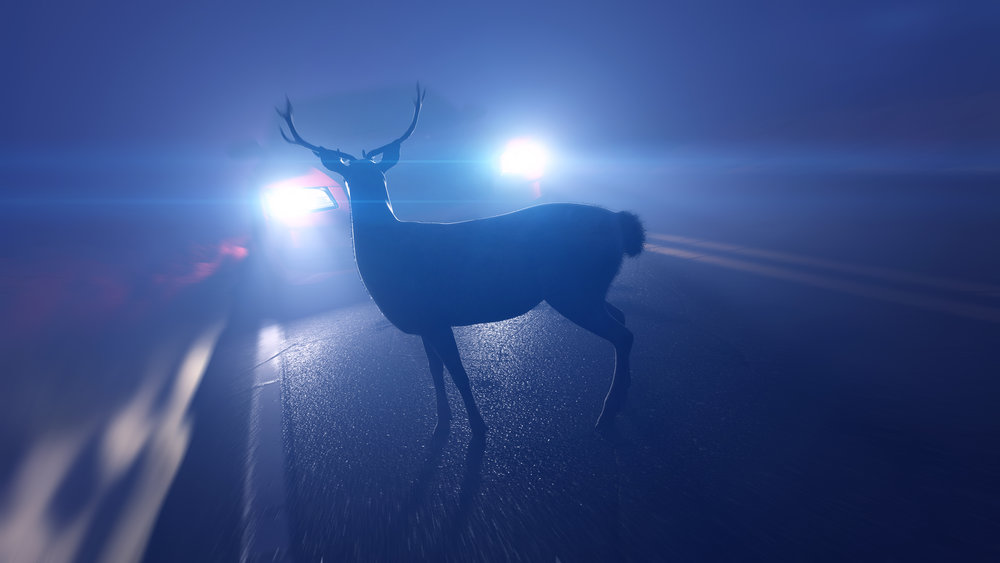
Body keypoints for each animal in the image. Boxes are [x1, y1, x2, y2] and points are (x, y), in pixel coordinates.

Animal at [278, 86, 644, 438]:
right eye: (349, 176)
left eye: (377, 174)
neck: (390, 253)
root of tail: (620, 222)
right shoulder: (424, 321)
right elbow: (435, 373)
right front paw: (441, 424)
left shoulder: (436, 315)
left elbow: (459, 374)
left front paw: (479, 428)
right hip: (587, 286)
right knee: (622, 318)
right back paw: (624, 393)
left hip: (572, 286)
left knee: (622, 334)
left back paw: (606, 413)